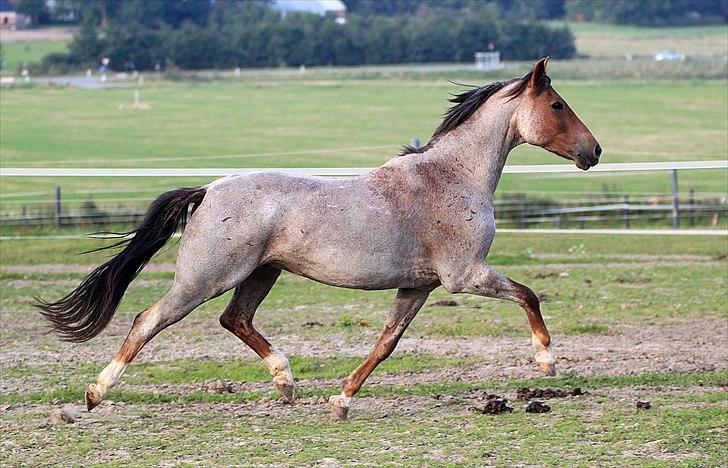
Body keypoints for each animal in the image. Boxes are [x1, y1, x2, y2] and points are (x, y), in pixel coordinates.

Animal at [37, 58, 600, 420]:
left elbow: (386, 344)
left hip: (261, 274)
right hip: (206, 278)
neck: (450, 177)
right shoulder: (465, 277)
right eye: (557, 105)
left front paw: (342, 400)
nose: (594, 151)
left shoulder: (419, 286)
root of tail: (207, 190)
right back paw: (93, 394)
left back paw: (286, 383)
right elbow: (529, 295)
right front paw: (547, 362)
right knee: (148, 319)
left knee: (235, 319)